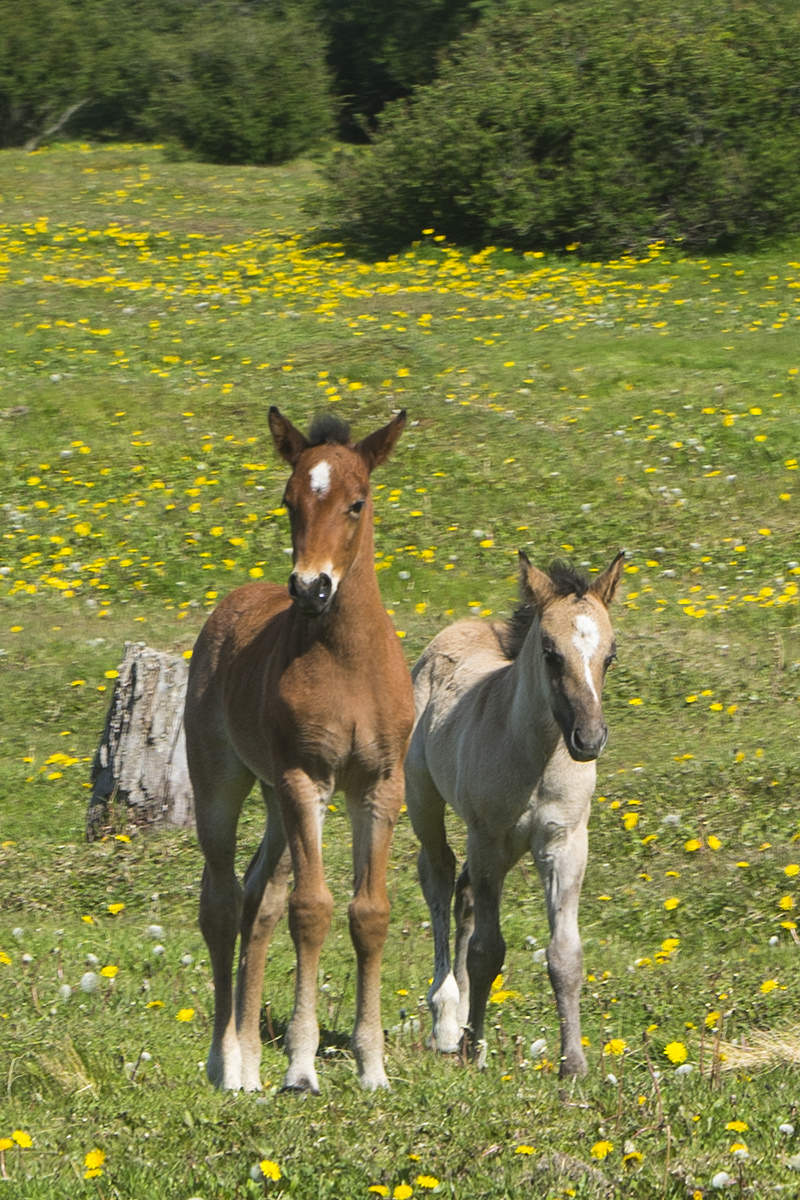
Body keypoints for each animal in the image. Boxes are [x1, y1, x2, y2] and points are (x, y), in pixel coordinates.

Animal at [407, 552, 623, 1080]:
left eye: (610, 656)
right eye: (550, 653)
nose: (589, 738)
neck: (535, 756)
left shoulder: (565, 845)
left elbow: (565, 956)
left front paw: (574, 1066)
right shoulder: (489, 842)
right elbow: (488, 951)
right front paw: (471, 1047)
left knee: (462, 894)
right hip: (423, 799)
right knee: (439, 879)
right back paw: (447, 1022)